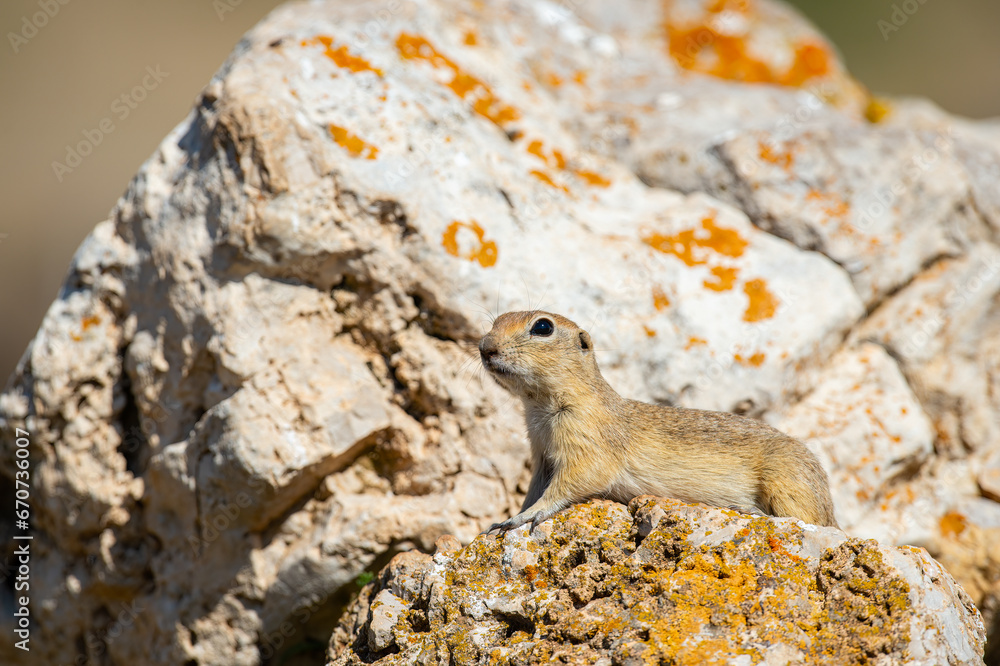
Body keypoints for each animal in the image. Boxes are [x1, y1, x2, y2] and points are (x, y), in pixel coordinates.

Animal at [479, 310, 838, 533]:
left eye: (542, 327)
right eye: (495, 321)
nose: (485, 346)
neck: (540, 406)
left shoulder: (587, 443)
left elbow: (572, 483)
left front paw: (523, 517)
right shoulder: (541, 456)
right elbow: (535, 489)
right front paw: (502, 521)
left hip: (787, 480)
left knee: (809, 519)